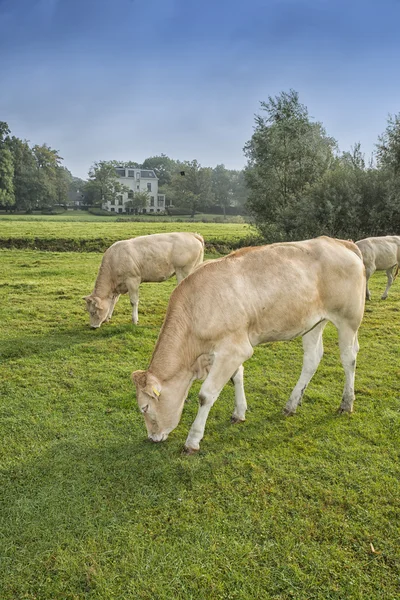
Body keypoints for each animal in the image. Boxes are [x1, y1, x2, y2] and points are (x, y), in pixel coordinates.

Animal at [131, 237, 366, 452]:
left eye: (144, 408)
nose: (152, 437)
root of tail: (340, 242)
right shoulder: (229, 349)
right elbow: (237, 377)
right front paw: (239, 413)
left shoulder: (234, 350)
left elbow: (206, 394)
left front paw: (193, 440)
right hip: (313, 322)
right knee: (312, 359)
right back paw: (291, 405)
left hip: (348, 319)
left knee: (349, 358)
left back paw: (346, 403)